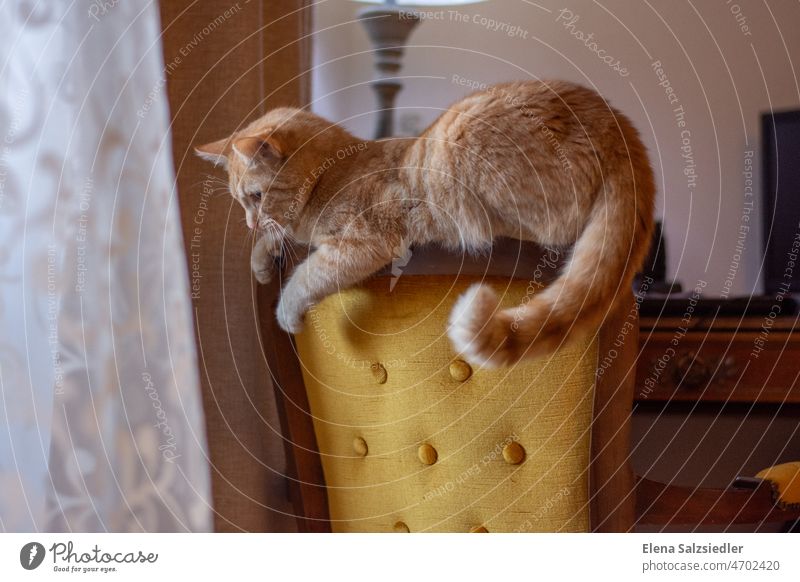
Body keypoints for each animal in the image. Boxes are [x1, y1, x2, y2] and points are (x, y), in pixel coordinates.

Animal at [197, 80, 652, 368]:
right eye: (241, 201)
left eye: (256, 196)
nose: (248, 222)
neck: (333, 173)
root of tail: (616, 123)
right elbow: (284, 242)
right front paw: (261, 258)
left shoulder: (363, 243)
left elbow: (308, 275)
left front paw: (286, 307)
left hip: (463, 145)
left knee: (552, 231)